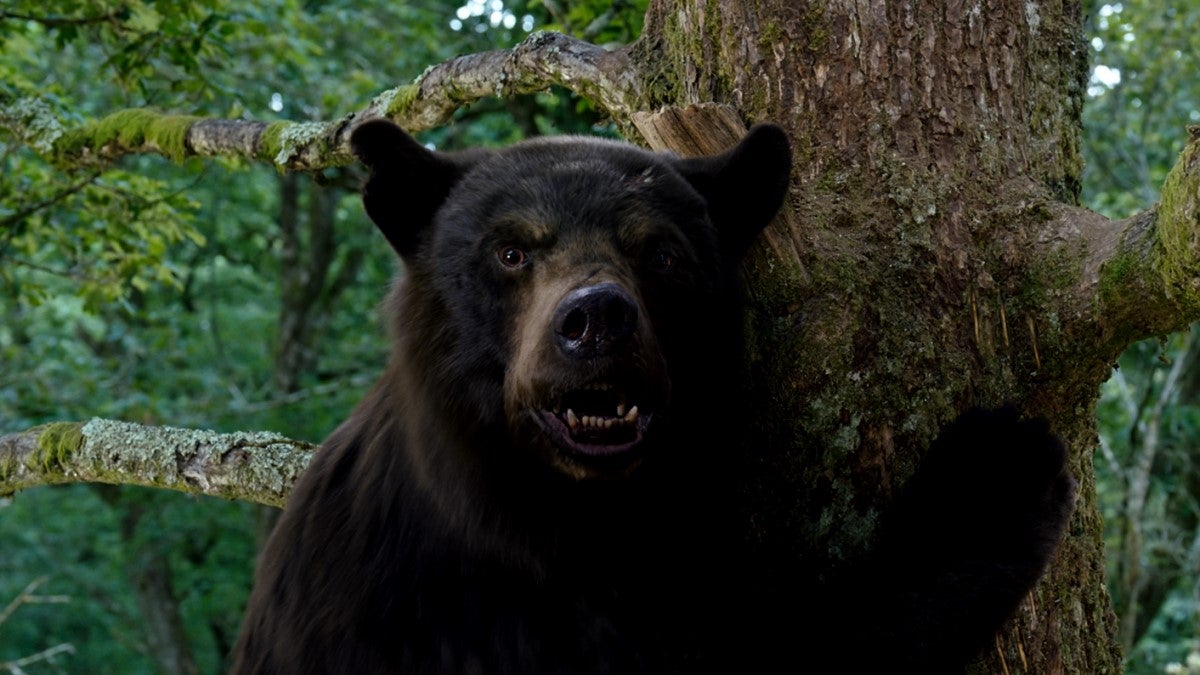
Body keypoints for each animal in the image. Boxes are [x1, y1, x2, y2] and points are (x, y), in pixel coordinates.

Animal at [230, 119, 1075, 674]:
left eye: (662, 252)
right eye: (511, 250)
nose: (597, 319)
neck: (560, 523)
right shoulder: (379, 604)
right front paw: (993, 470)